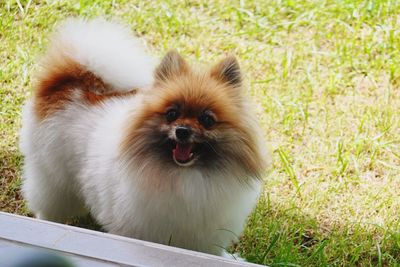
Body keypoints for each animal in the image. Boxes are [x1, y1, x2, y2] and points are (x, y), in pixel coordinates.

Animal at [19, 17, 268, 256]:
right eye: (171, 114)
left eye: (207, 120)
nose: (182, 130)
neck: (184, 175)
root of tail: (72, 83)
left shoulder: (205, 237)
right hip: (53, 177)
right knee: (48, 204)